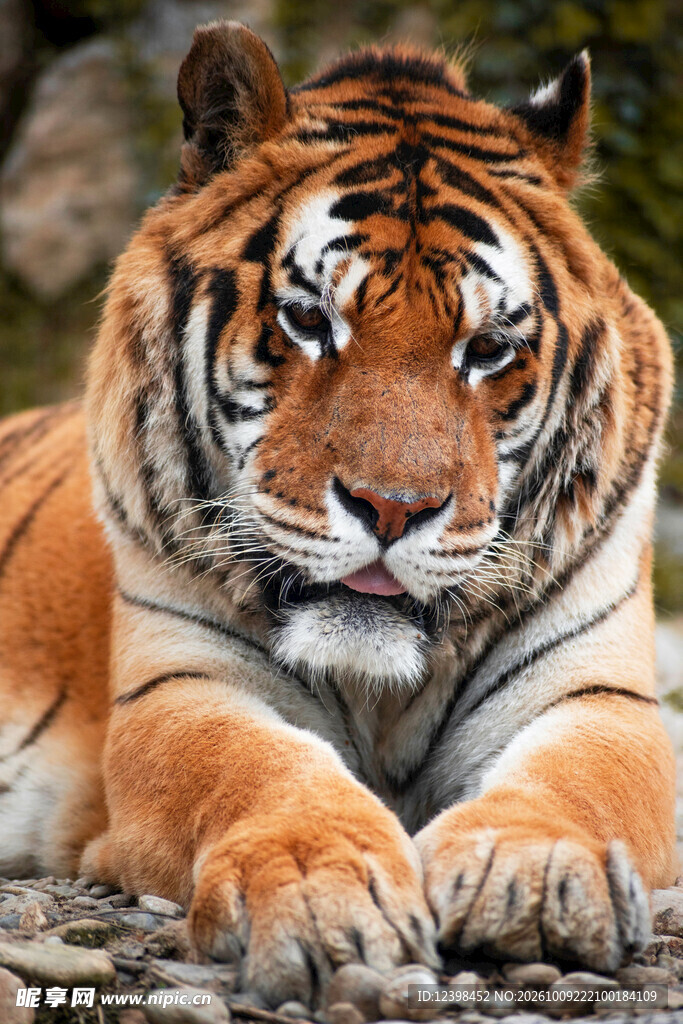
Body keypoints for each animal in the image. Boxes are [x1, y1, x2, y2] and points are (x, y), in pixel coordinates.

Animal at [0, 19, 676, 1007]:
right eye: (310, 320)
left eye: (485, 349)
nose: (392, 510)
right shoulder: (184, 685)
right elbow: (257, 769)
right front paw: (320, 891)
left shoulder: (599, 694)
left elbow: (583, 780)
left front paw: (534, 872)